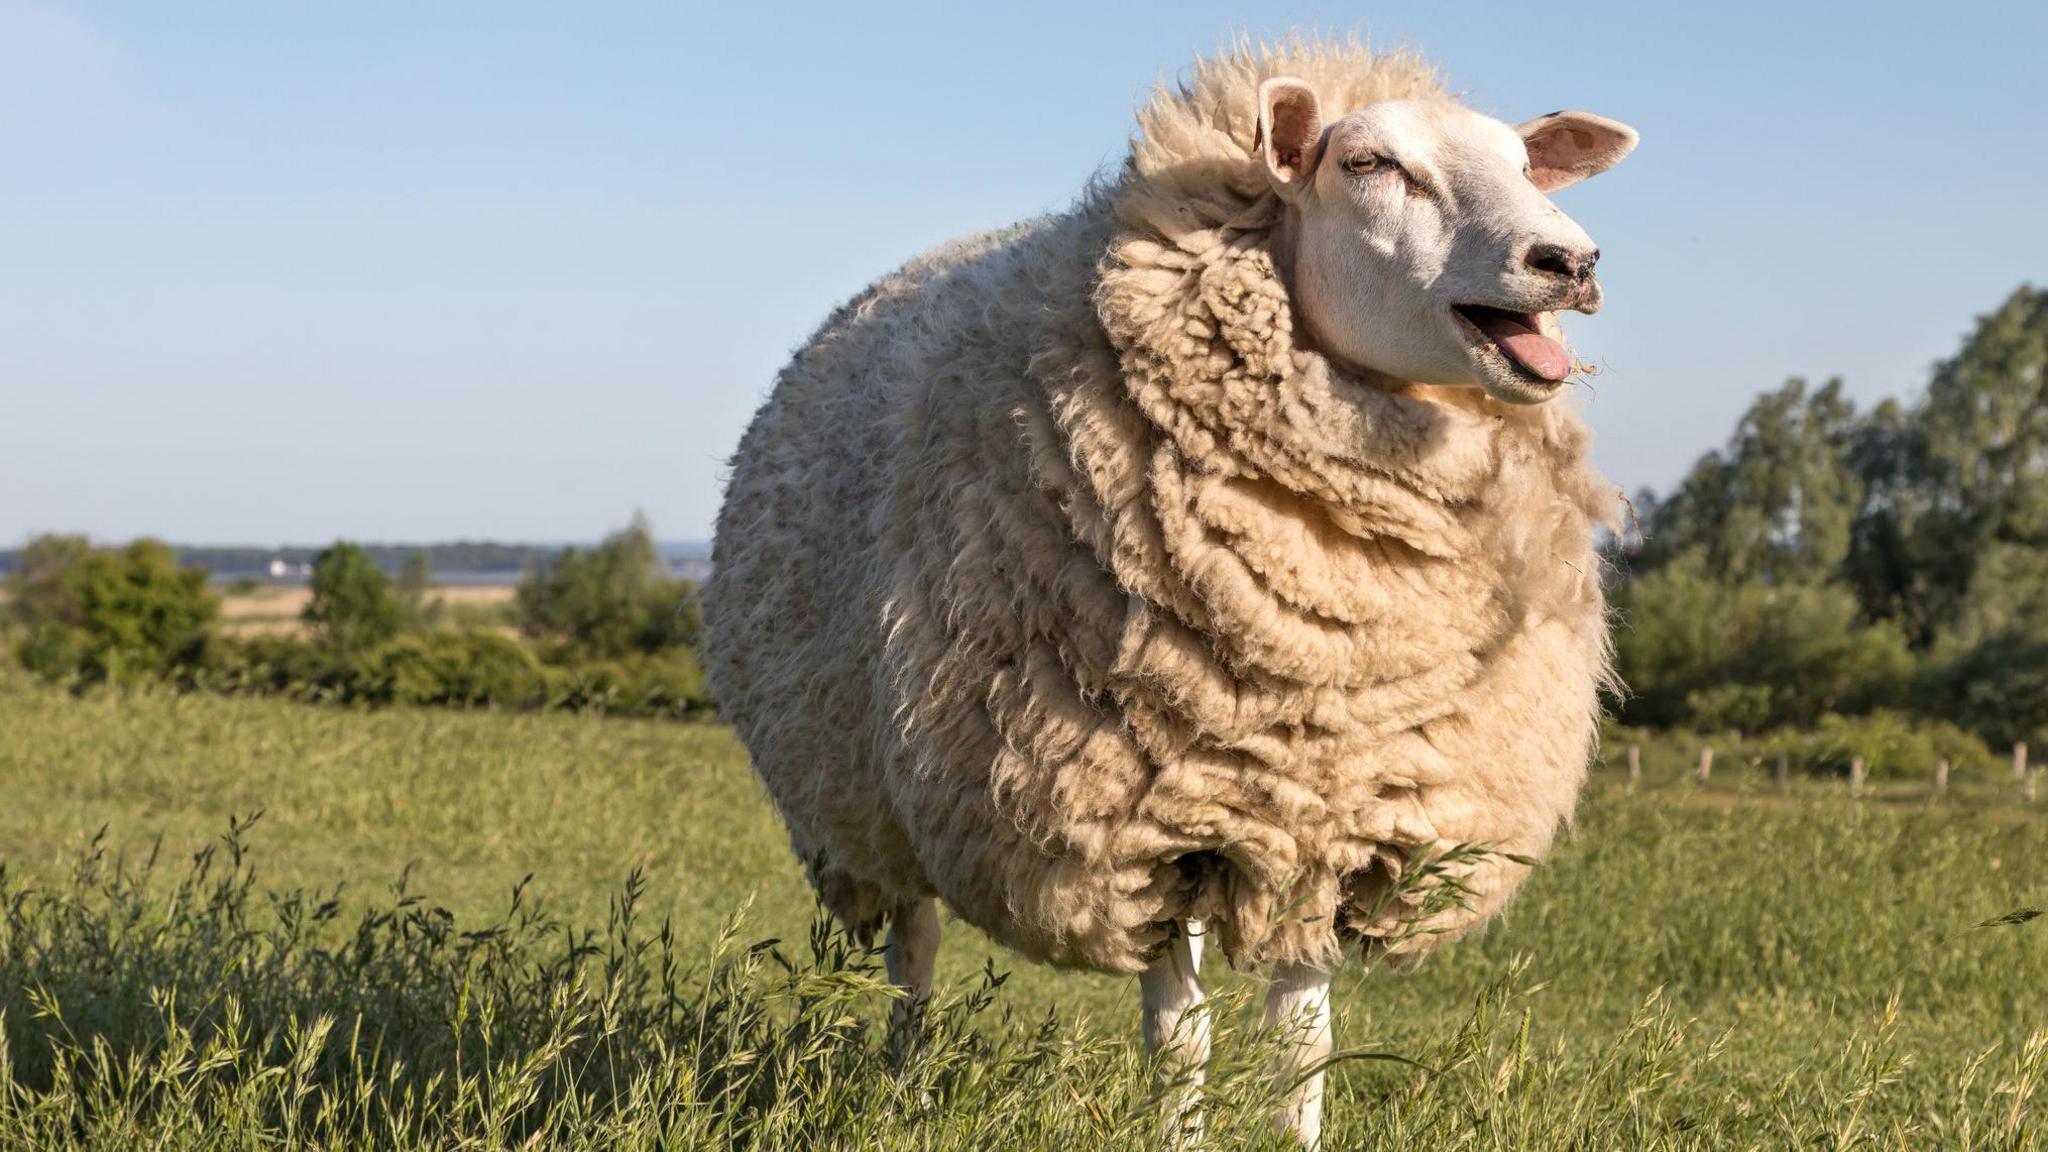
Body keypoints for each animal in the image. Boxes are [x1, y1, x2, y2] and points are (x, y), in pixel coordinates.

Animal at [702, 40, 1638, 1146]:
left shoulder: (1329, 825)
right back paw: (905, 1095)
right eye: (1367, 163)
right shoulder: (1134, 835)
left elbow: (1300, 1047)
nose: (1570, 263)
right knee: (912, 958)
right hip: (862, 803)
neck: (1326, 649)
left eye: (1526, 165)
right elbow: (1179, 1043)